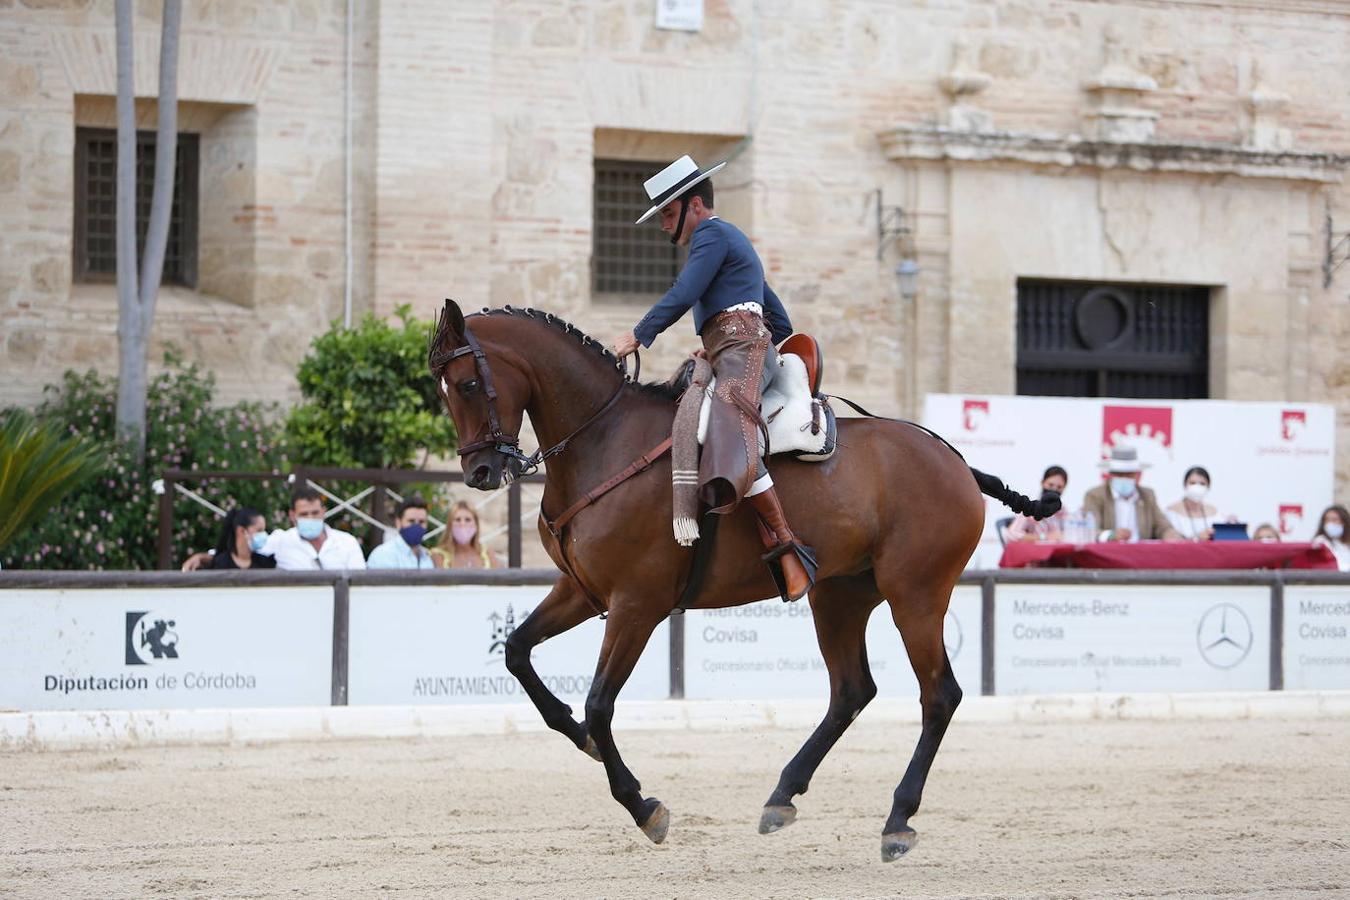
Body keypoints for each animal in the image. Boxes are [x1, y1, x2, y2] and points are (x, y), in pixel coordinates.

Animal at [426, 300, 1047, 858]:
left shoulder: (636, 605)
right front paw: (580, 739)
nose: (480, 472)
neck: (605, 443)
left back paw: (897, 818)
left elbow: (600, 704)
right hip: (840, 597)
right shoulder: (581, 591)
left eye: (466, 384)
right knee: (851, 690)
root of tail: (954, 459)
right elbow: (518, 653)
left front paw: (642, 806)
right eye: (444, 390)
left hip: (916, 595)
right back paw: (783, 795)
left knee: (938, 695)